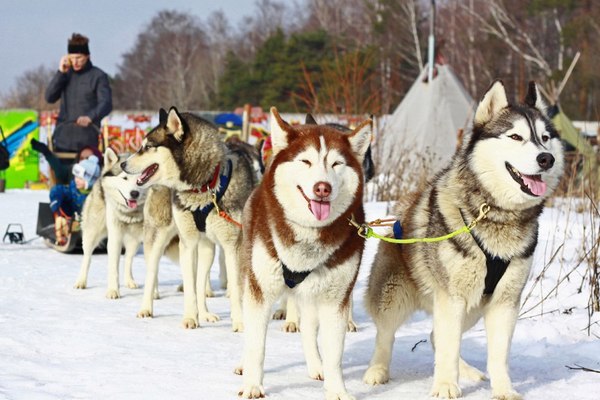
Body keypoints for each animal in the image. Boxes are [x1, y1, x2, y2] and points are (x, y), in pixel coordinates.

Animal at [73, 148, 148, 298]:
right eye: (124, 178)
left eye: (141, 179)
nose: (135, 193)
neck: (130, 214)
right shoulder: (115, 238)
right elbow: (113, 269)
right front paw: (113, 291)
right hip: (92, 233)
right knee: (87, 257)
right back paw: (81, 281)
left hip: (135, 241)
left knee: (128, 259)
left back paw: (129, 281)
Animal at [122, 107, 255, 332]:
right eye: (141, 145)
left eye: (147, 147)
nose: (122, 163)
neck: (204, 185)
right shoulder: (188, 242)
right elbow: (190, 288)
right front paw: (190, 318)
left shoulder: (232, 245)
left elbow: (232, 289)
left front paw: (238, 323)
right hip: (157, 238)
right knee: (152, 274)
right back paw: (146, 308)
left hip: (207, 248)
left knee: (201, 281)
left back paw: (206, 313)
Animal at [238, 108, 370, 398]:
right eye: (306, 161)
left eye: (336, 164)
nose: (323, 188)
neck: (309, 234)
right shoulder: (260, 292)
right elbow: (256, 344)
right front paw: (253, 384)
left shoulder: (335, 300)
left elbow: (334, 354)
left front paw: (337, 390)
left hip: (312, 295)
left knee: (309, 330)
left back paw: (316, 366)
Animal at [364, 79, 564, 398]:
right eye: (515, 136)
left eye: (545, 138)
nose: (546, 158)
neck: (496, 214)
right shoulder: (452, 297)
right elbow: (447, 348)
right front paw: (446, 385)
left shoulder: (504, 302)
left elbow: (497, 355)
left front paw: (503, 389)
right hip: (395, 296)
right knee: (387, 334)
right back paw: (377, 370)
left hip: (472, 305)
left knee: (437, 335)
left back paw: (469, 372)